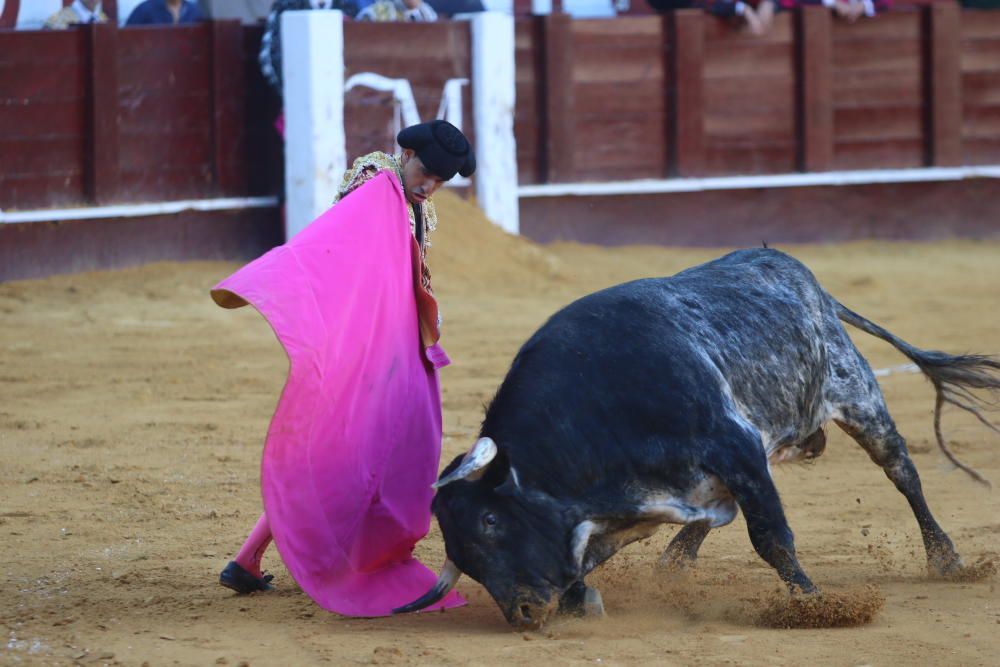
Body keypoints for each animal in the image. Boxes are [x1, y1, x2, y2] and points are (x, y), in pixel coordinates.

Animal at [394, 248, 996, 628]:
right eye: (461, 551)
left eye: (490, 521)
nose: (520, 613)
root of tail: (802, 275)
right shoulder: (630, 503)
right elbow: (586, 558)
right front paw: (582, 601)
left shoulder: (736, 448)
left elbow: (771, 536)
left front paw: (811, 604)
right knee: (715, 515)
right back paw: (676, 561)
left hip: (859, 397)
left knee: (902, 472)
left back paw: (946, 559)